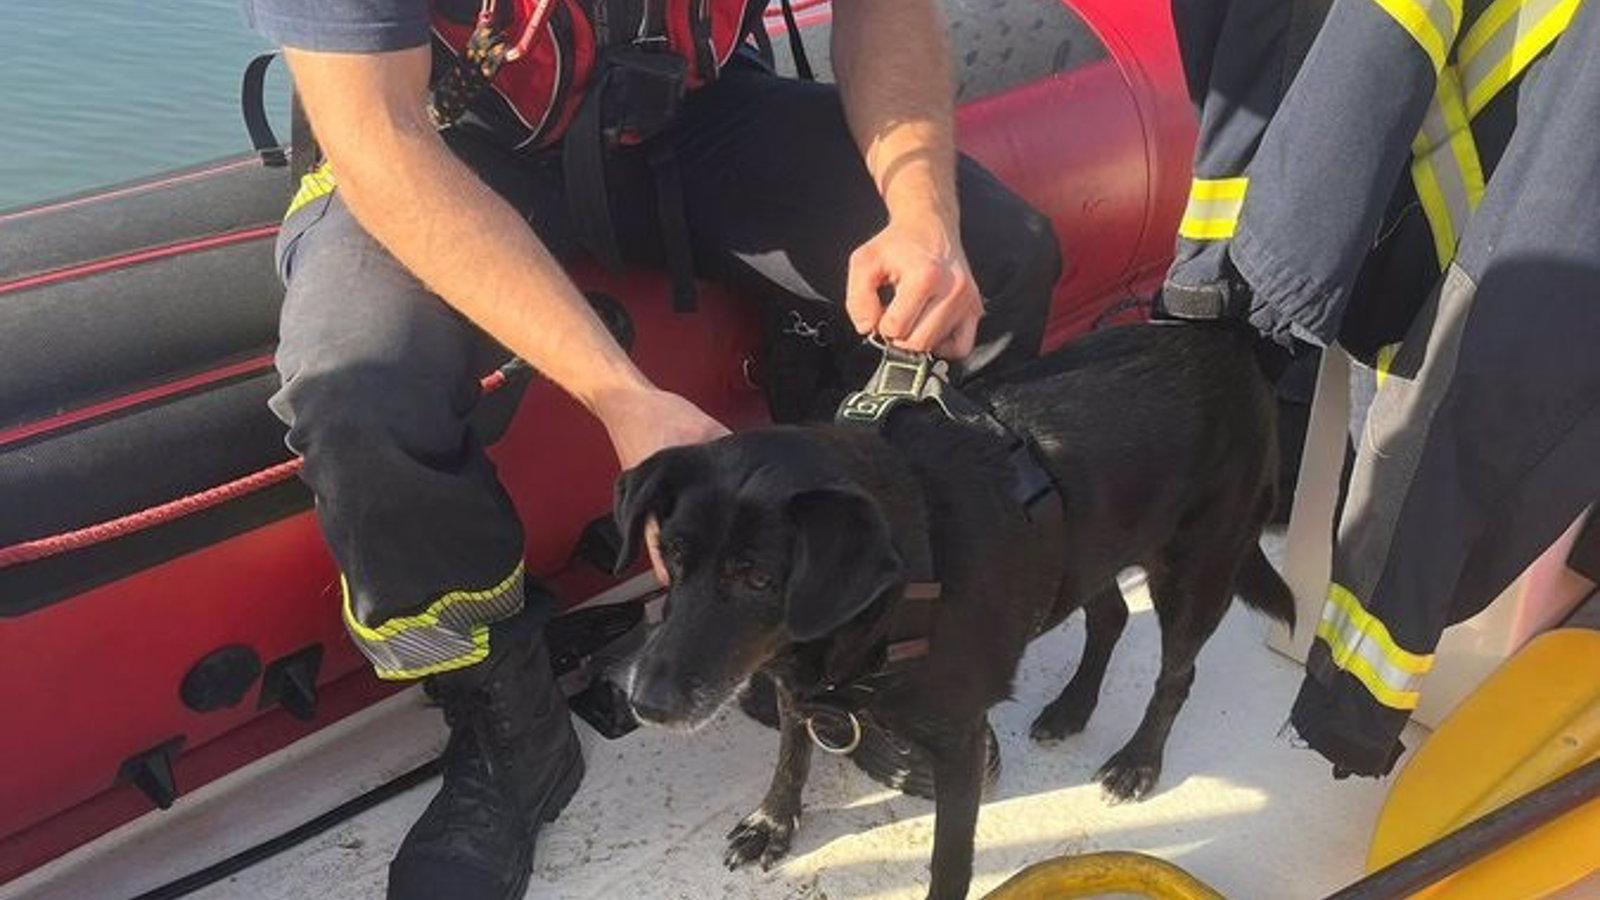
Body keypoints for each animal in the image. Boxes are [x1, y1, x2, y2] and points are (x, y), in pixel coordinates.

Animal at [617, 321, 1292, 896]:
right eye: (671, 556)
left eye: (757, 577)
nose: (645, 704)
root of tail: (1232, 347)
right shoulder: (794, 681)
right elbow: (791, 754)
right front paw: (771, 825)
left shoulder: (959, 745)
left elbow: (949, 859)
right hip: (1089, 546)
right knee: (1111, 617)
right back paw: (1072, 708)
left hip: (1196, 570)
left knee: (1177, 674)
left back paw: (1137, 763)